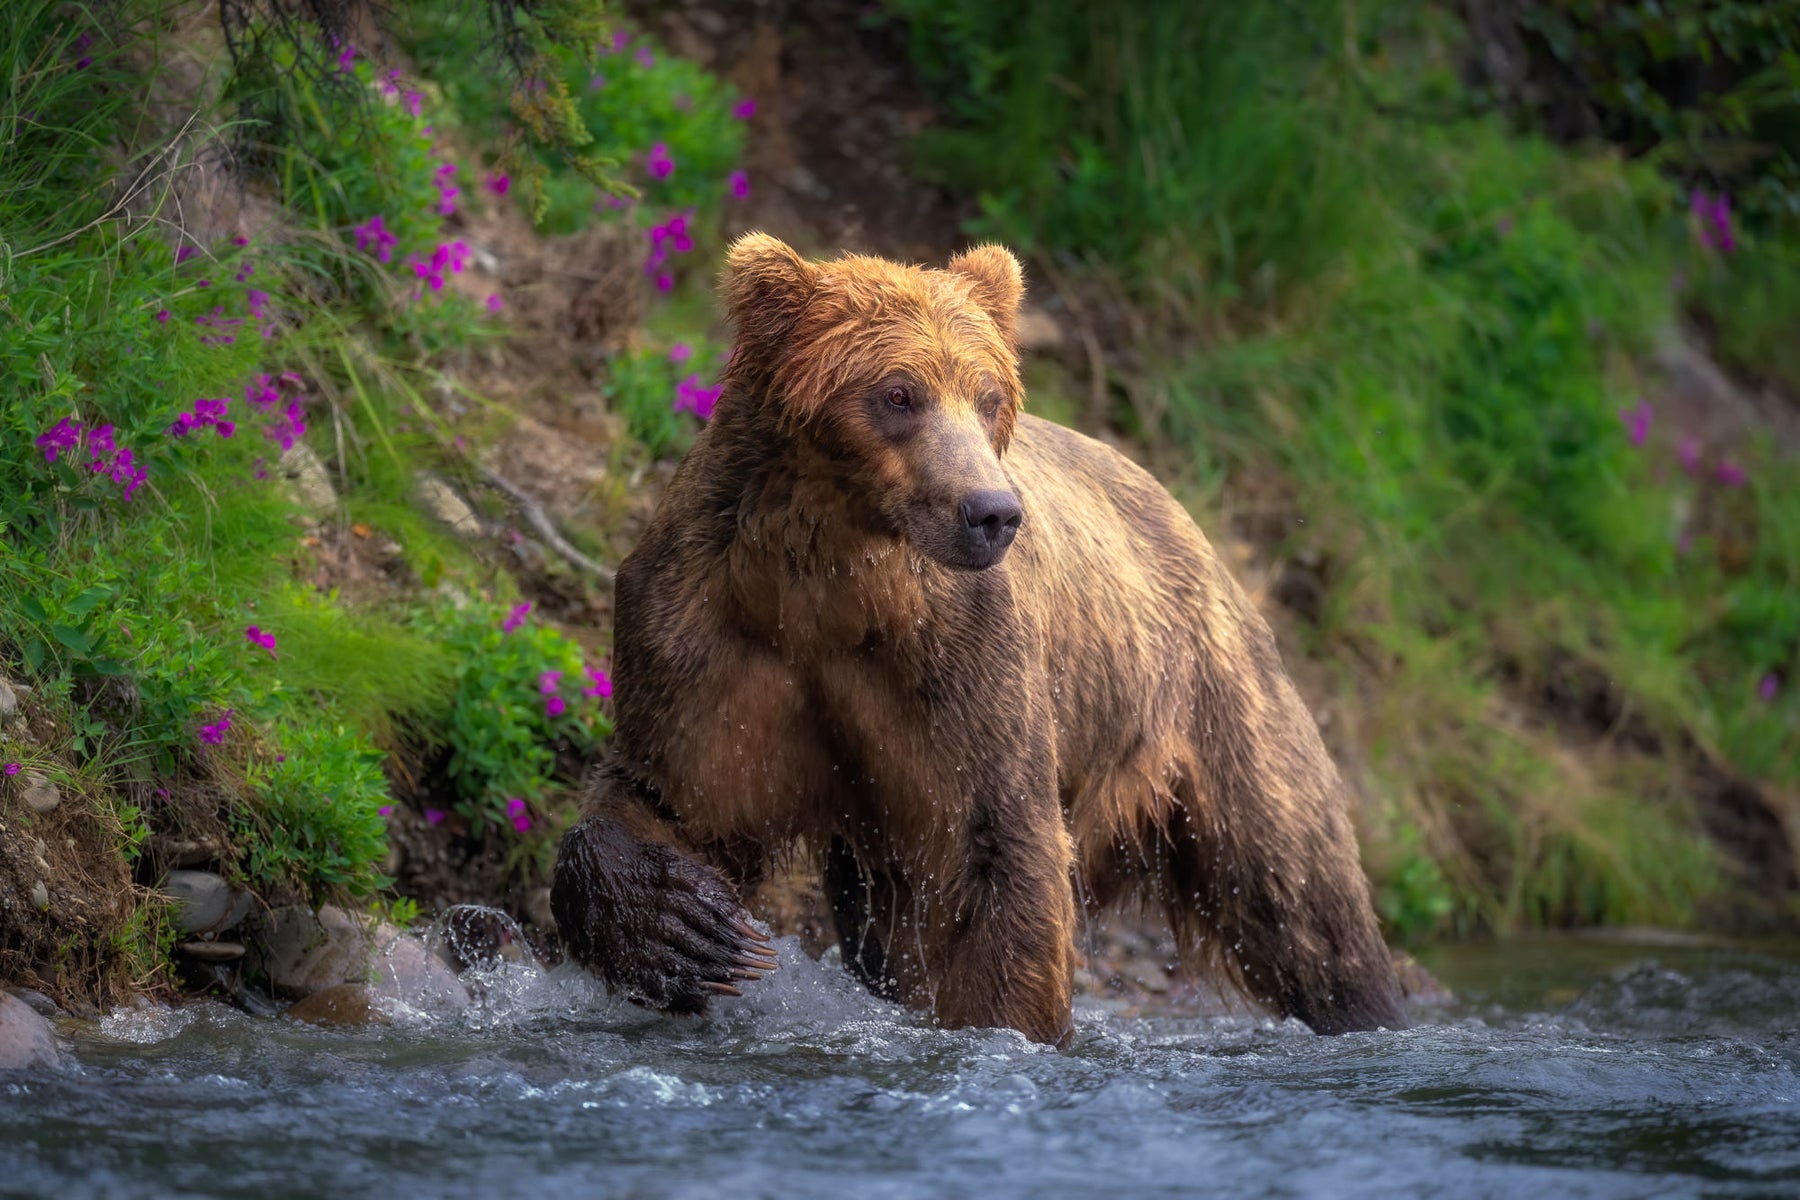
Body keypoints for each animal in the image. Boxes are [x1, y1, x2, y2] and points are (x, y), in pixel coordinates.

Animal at [552, 233, 1409, 1045]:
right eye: (898, 393)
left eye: (988, 395)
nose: (991, 512)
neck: (829, 587)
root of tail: (1191, 524)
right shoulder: (708, 635)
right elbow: (675, 799)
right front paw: (683, 926)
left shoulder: (961, 664)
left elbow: (999, 850)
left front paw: (1003, 1027)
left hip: (1214, 709)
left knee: (1298, 895)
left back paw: (1366, 1003)